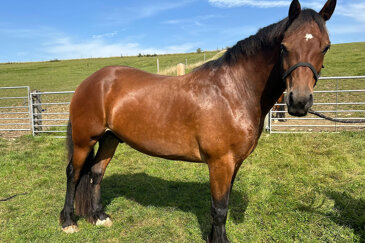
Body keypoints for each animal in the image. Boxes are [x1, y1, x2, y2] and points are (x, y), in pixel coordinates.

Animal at [59, 0, 336, 242]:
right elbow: (220, 208)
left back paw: (98, 217)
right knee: (74, 174)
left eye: (326, 46)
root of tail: (92, 81)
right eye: (284, 46)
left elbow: (222, 204)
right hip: (85, 140)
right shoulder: (221, 162)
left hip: (110, 138)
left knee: (96, 172)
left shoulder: (233, 164)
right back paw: (68, 221)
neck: (233, 91)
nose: (299, 101)